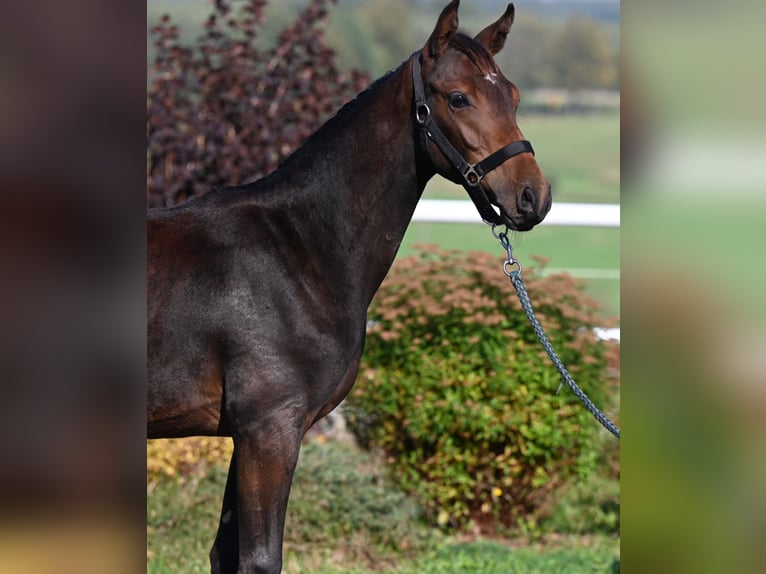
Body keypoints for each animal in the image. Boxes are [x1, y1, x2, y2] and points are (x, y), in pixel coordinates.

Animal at [146, 2, 552, 572]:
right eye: (458, 97)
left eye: (513, 95)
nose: (533, 197)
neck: (299, 249)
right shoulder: (269, 431)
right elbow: (260, 557)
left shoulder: (246, 434)